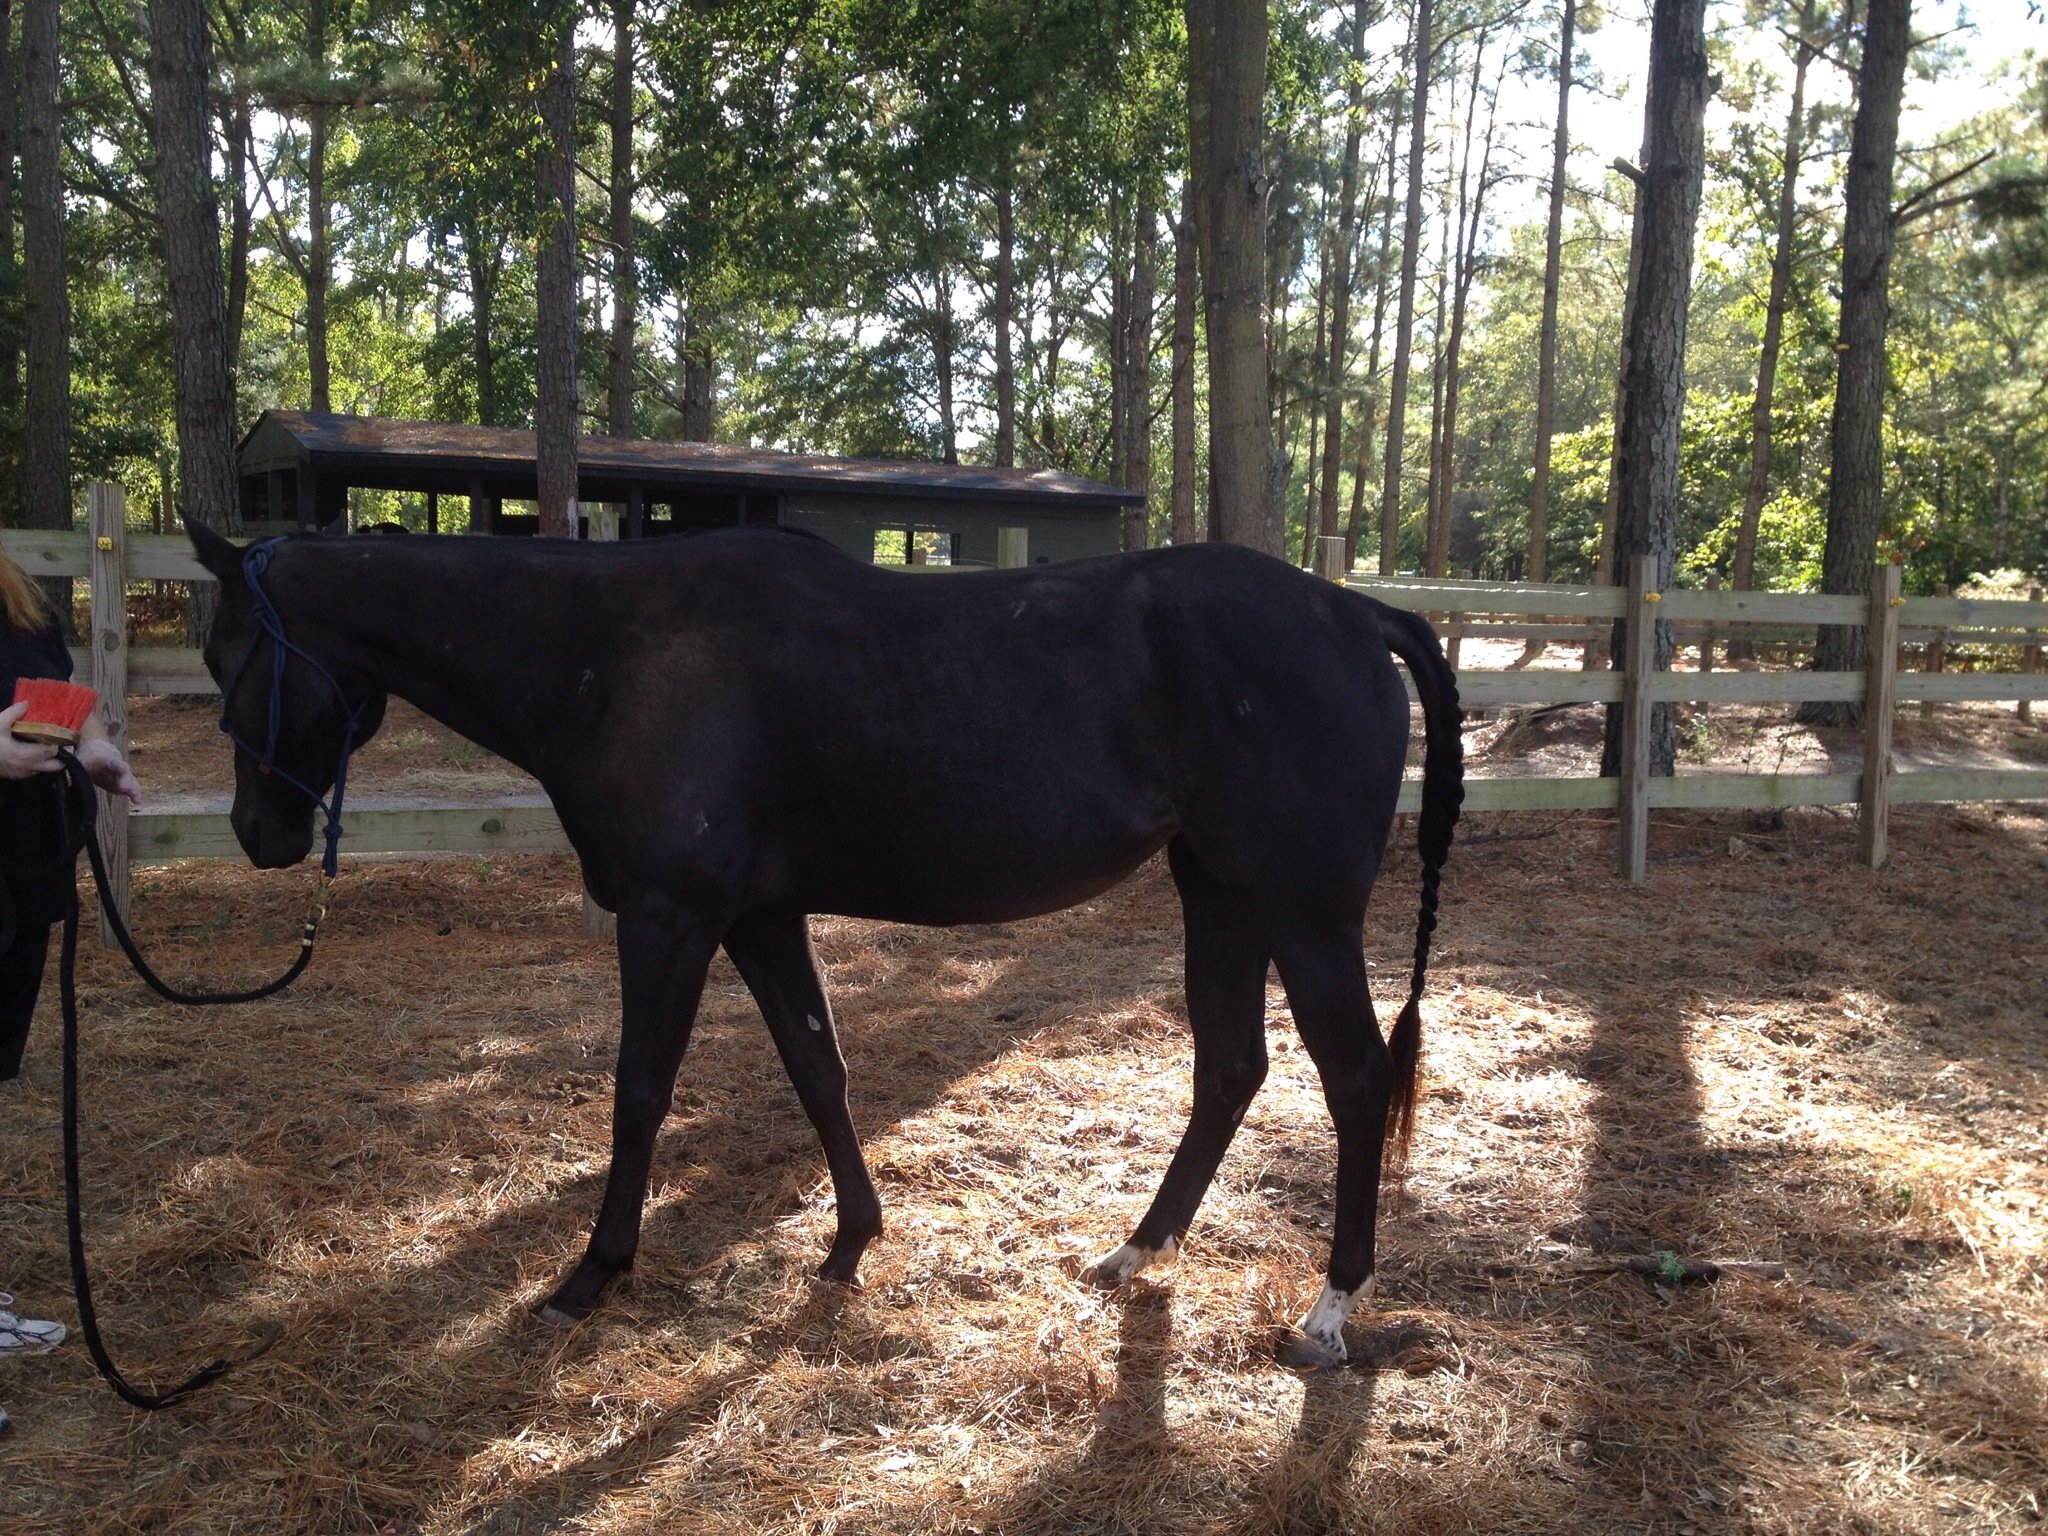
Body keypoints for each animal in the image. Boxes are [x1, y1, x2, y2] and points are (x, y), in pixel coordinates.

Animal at [186, 520, 1462, 1366]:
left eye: (226, 655)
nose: (257, 831)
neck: (616, 650)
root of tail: (1357, 612)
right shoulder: (757, 918)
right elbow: (817, 1067)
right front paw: (851, 1242)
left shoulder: (671, 915)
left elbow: (639, 1093)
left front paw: (593, 1273)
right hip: (1220, 896)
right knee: (1229, 1069)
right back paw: (1132, 1255)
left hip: (1302, 913)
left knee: (1353, 1081)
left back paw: (1329, 1309)